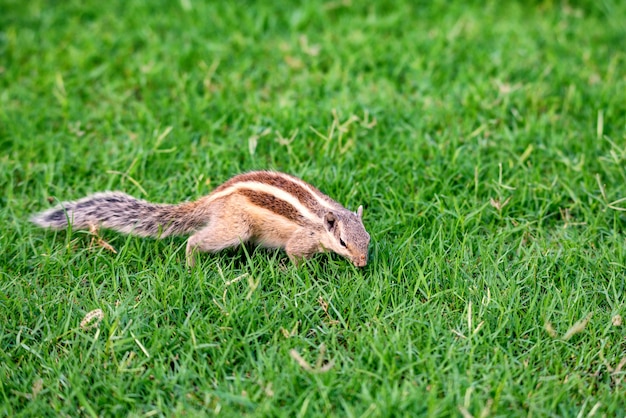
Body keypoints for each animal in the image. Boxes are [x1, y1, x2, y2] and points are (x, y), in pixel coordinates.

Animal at [29, 171, 368, 266]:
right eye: (342, 242)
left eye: (367, 239)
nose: (362, 264)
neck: (322, 218)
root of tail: (211, 201)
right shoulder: (301, 239)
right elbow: (295, 255)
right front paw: (303, 274)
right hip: (235, 228)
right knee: (194, 240)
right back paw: (192, 265)